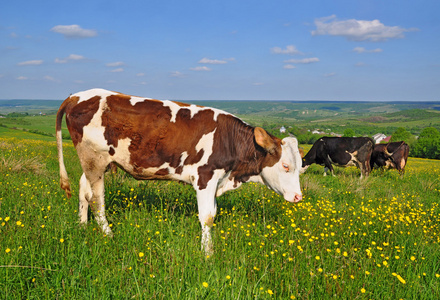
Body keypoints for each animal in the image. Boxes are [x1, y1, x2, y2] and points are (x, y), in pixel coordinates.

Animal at [55, 88, 302, 254]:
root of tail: (76, 96)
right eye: (285, 165)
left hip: (95, 163)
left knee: (83, 189)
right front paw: (208, 253)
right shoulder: (205, 177)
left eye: (300, 166)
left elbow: (212, 212)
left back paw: (82, 225)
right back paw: (108, 233)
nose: (298, 197)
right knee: (97, 198)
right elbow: (207, 216)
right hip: (94, 159)